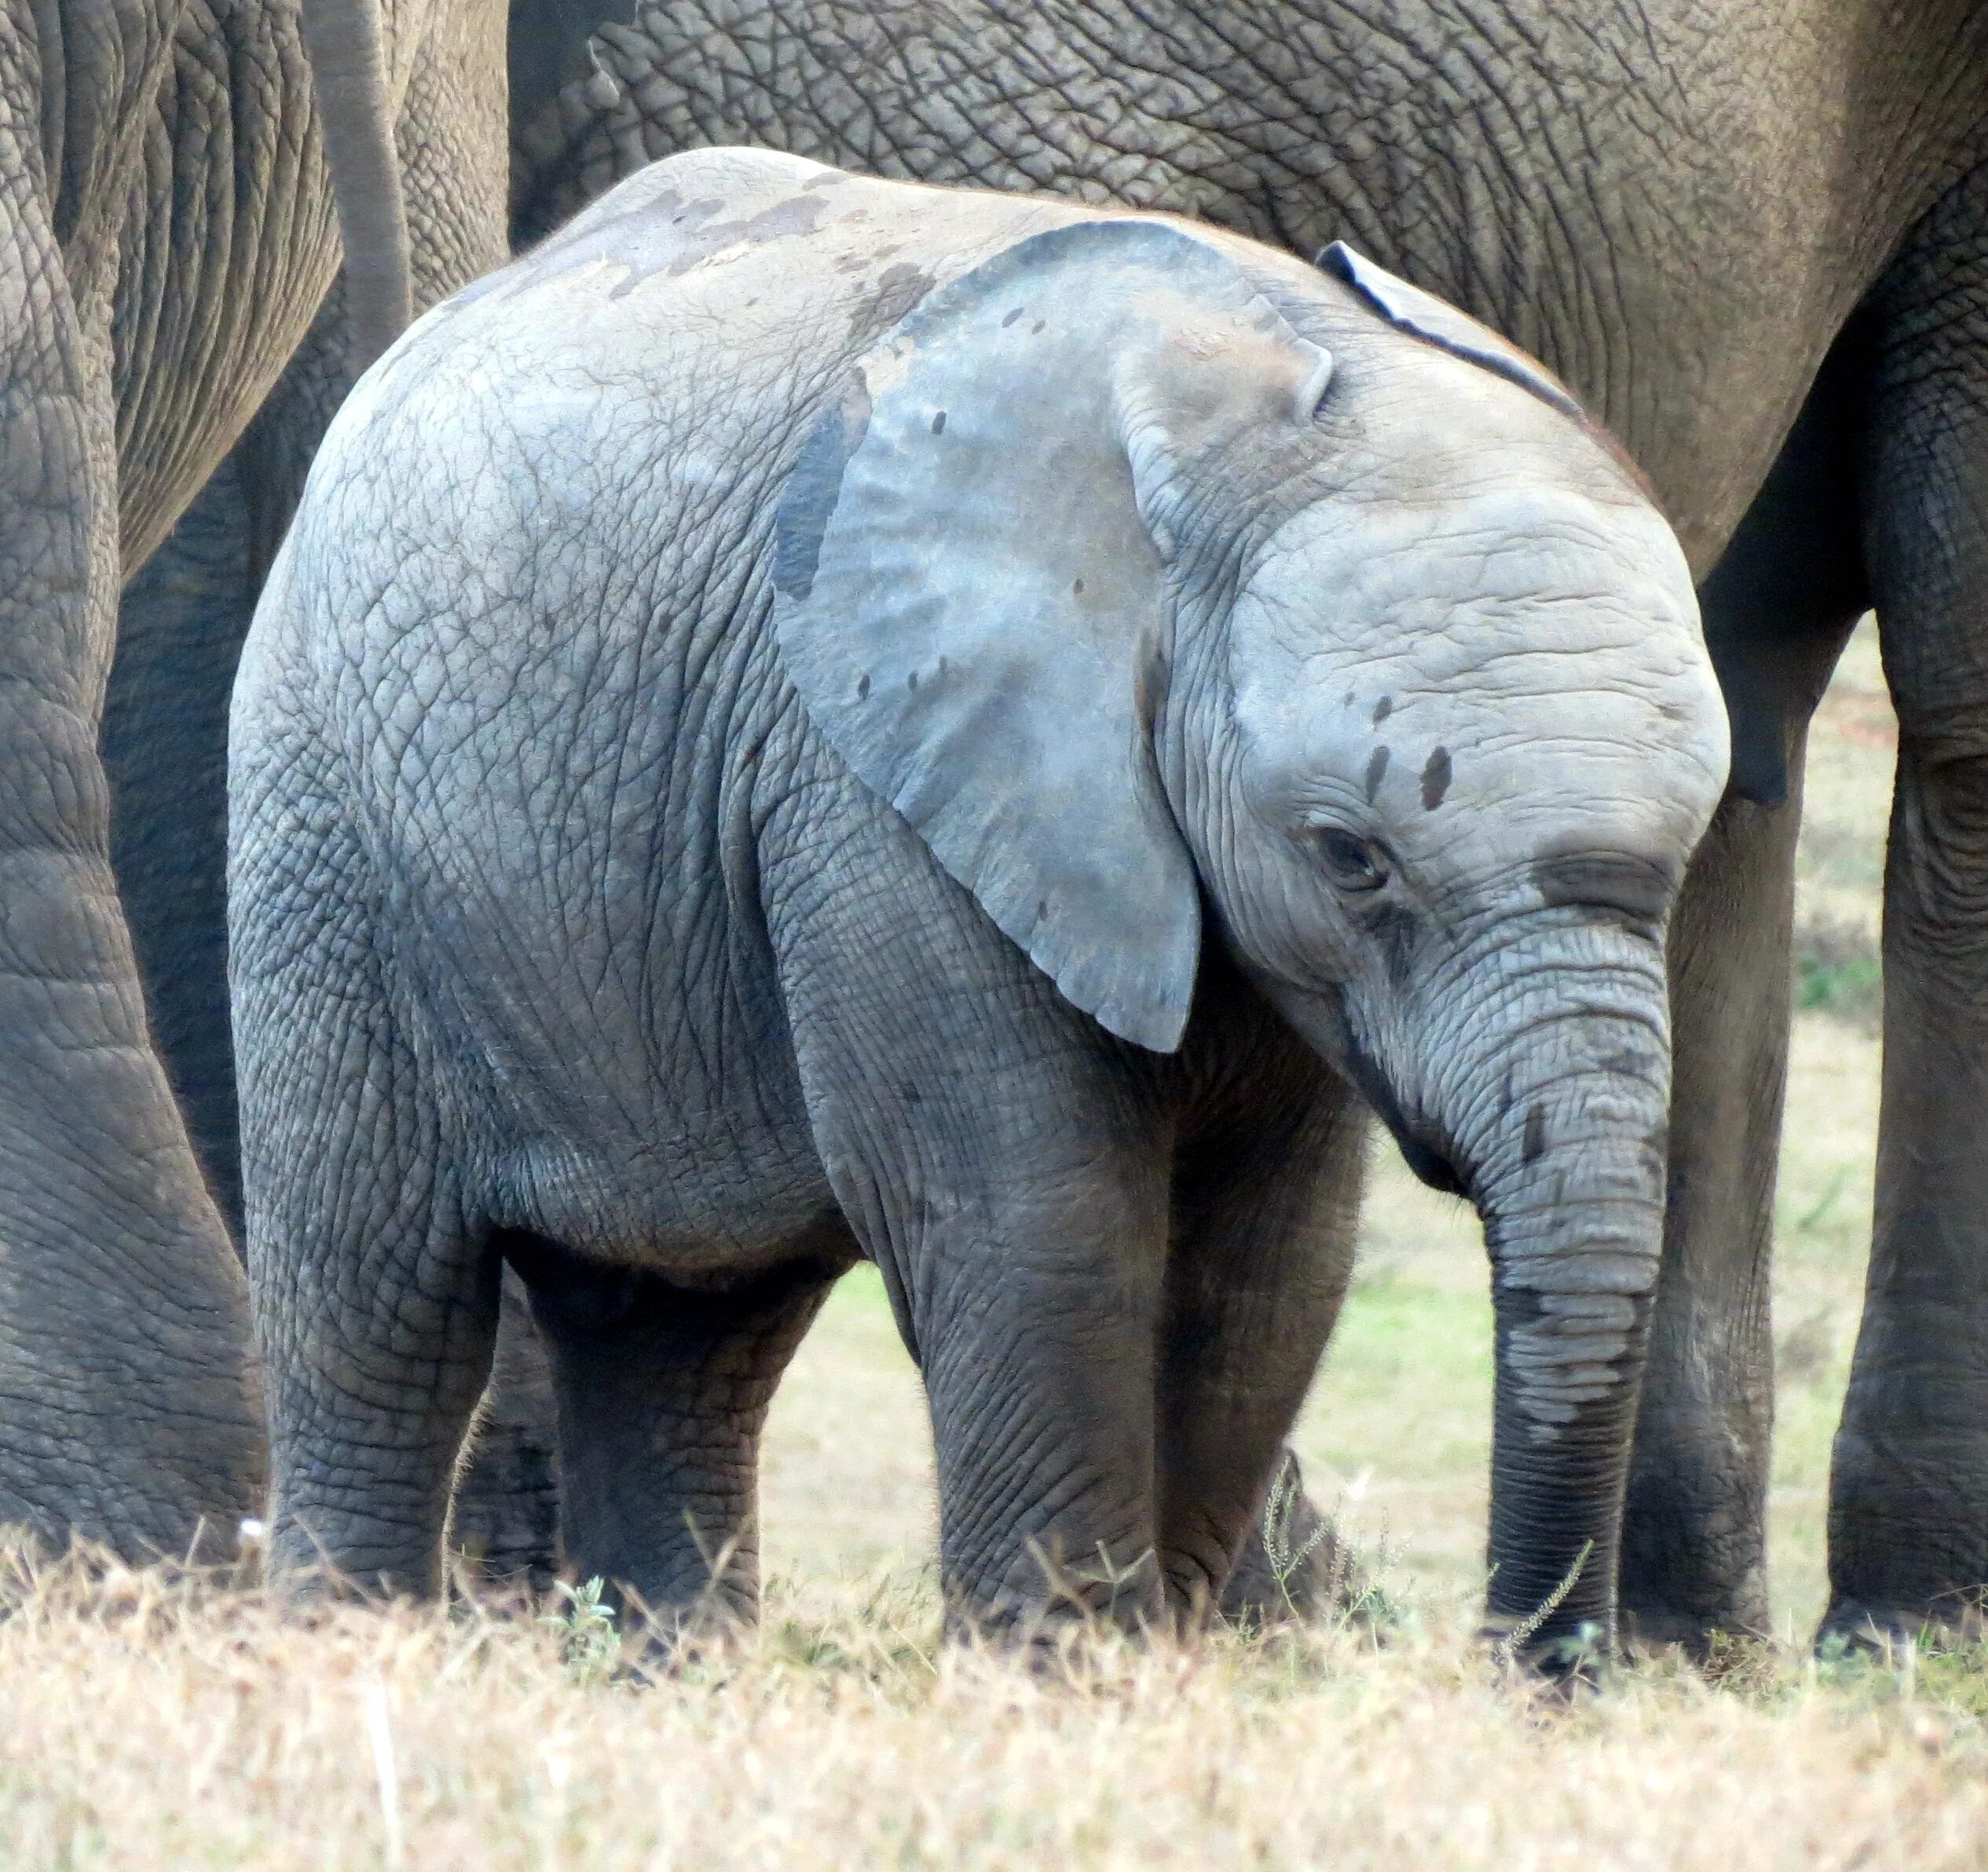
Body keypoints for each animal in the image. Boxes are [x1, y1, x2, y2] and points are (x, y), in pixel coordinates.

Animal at [229, 154, 1725, 1661]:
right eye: (1349, 854)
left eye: (1694, 833)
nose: (1547, 1676)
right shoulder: (868, 780)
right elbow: (1032, 1220)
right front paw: (1057, 1675)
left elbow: (1264, 1270)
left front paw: (1148, 1663)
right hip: (322, 825)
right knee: (378, 1299)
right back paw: (340, 1647)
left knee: (686, 1333)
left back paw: (672, 1674)